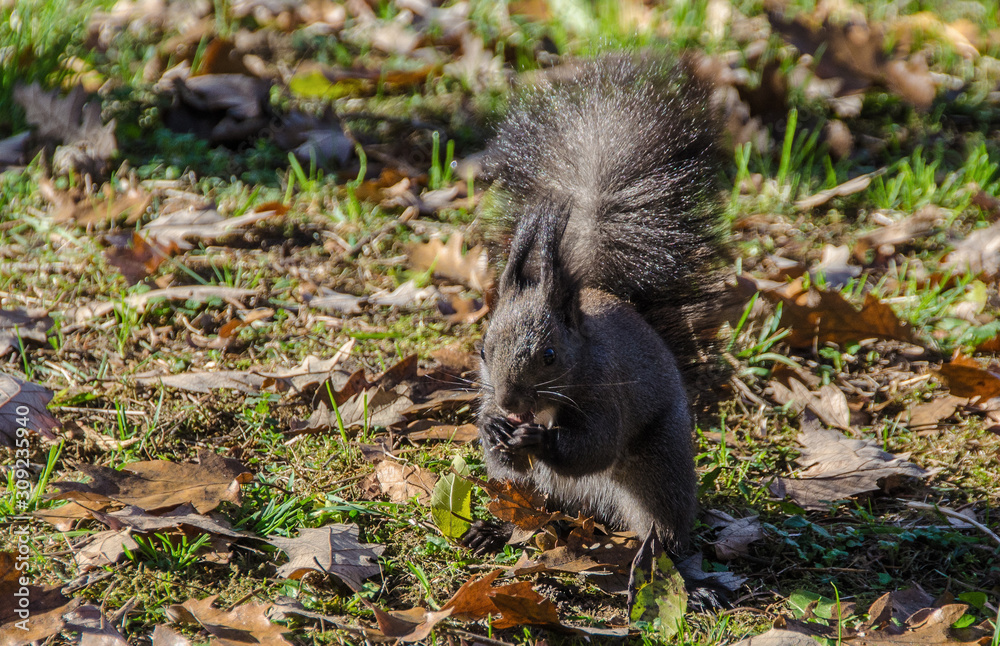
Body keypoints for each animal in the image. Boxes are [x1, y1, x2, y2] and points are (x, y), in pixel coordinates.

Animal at [468, 54, 729, 557]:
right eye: (483, 350)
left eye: (550, 356)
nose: (508, 403)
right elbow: (497, 444)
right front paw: (492, 426)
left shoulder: (608, 392)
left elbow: (594, 446)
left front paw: (537, 438)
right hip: (527, 485)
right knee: (528, 499)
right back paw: (495, 528)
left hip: (660, 464)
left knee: (664, 516)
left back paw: (658, 555)